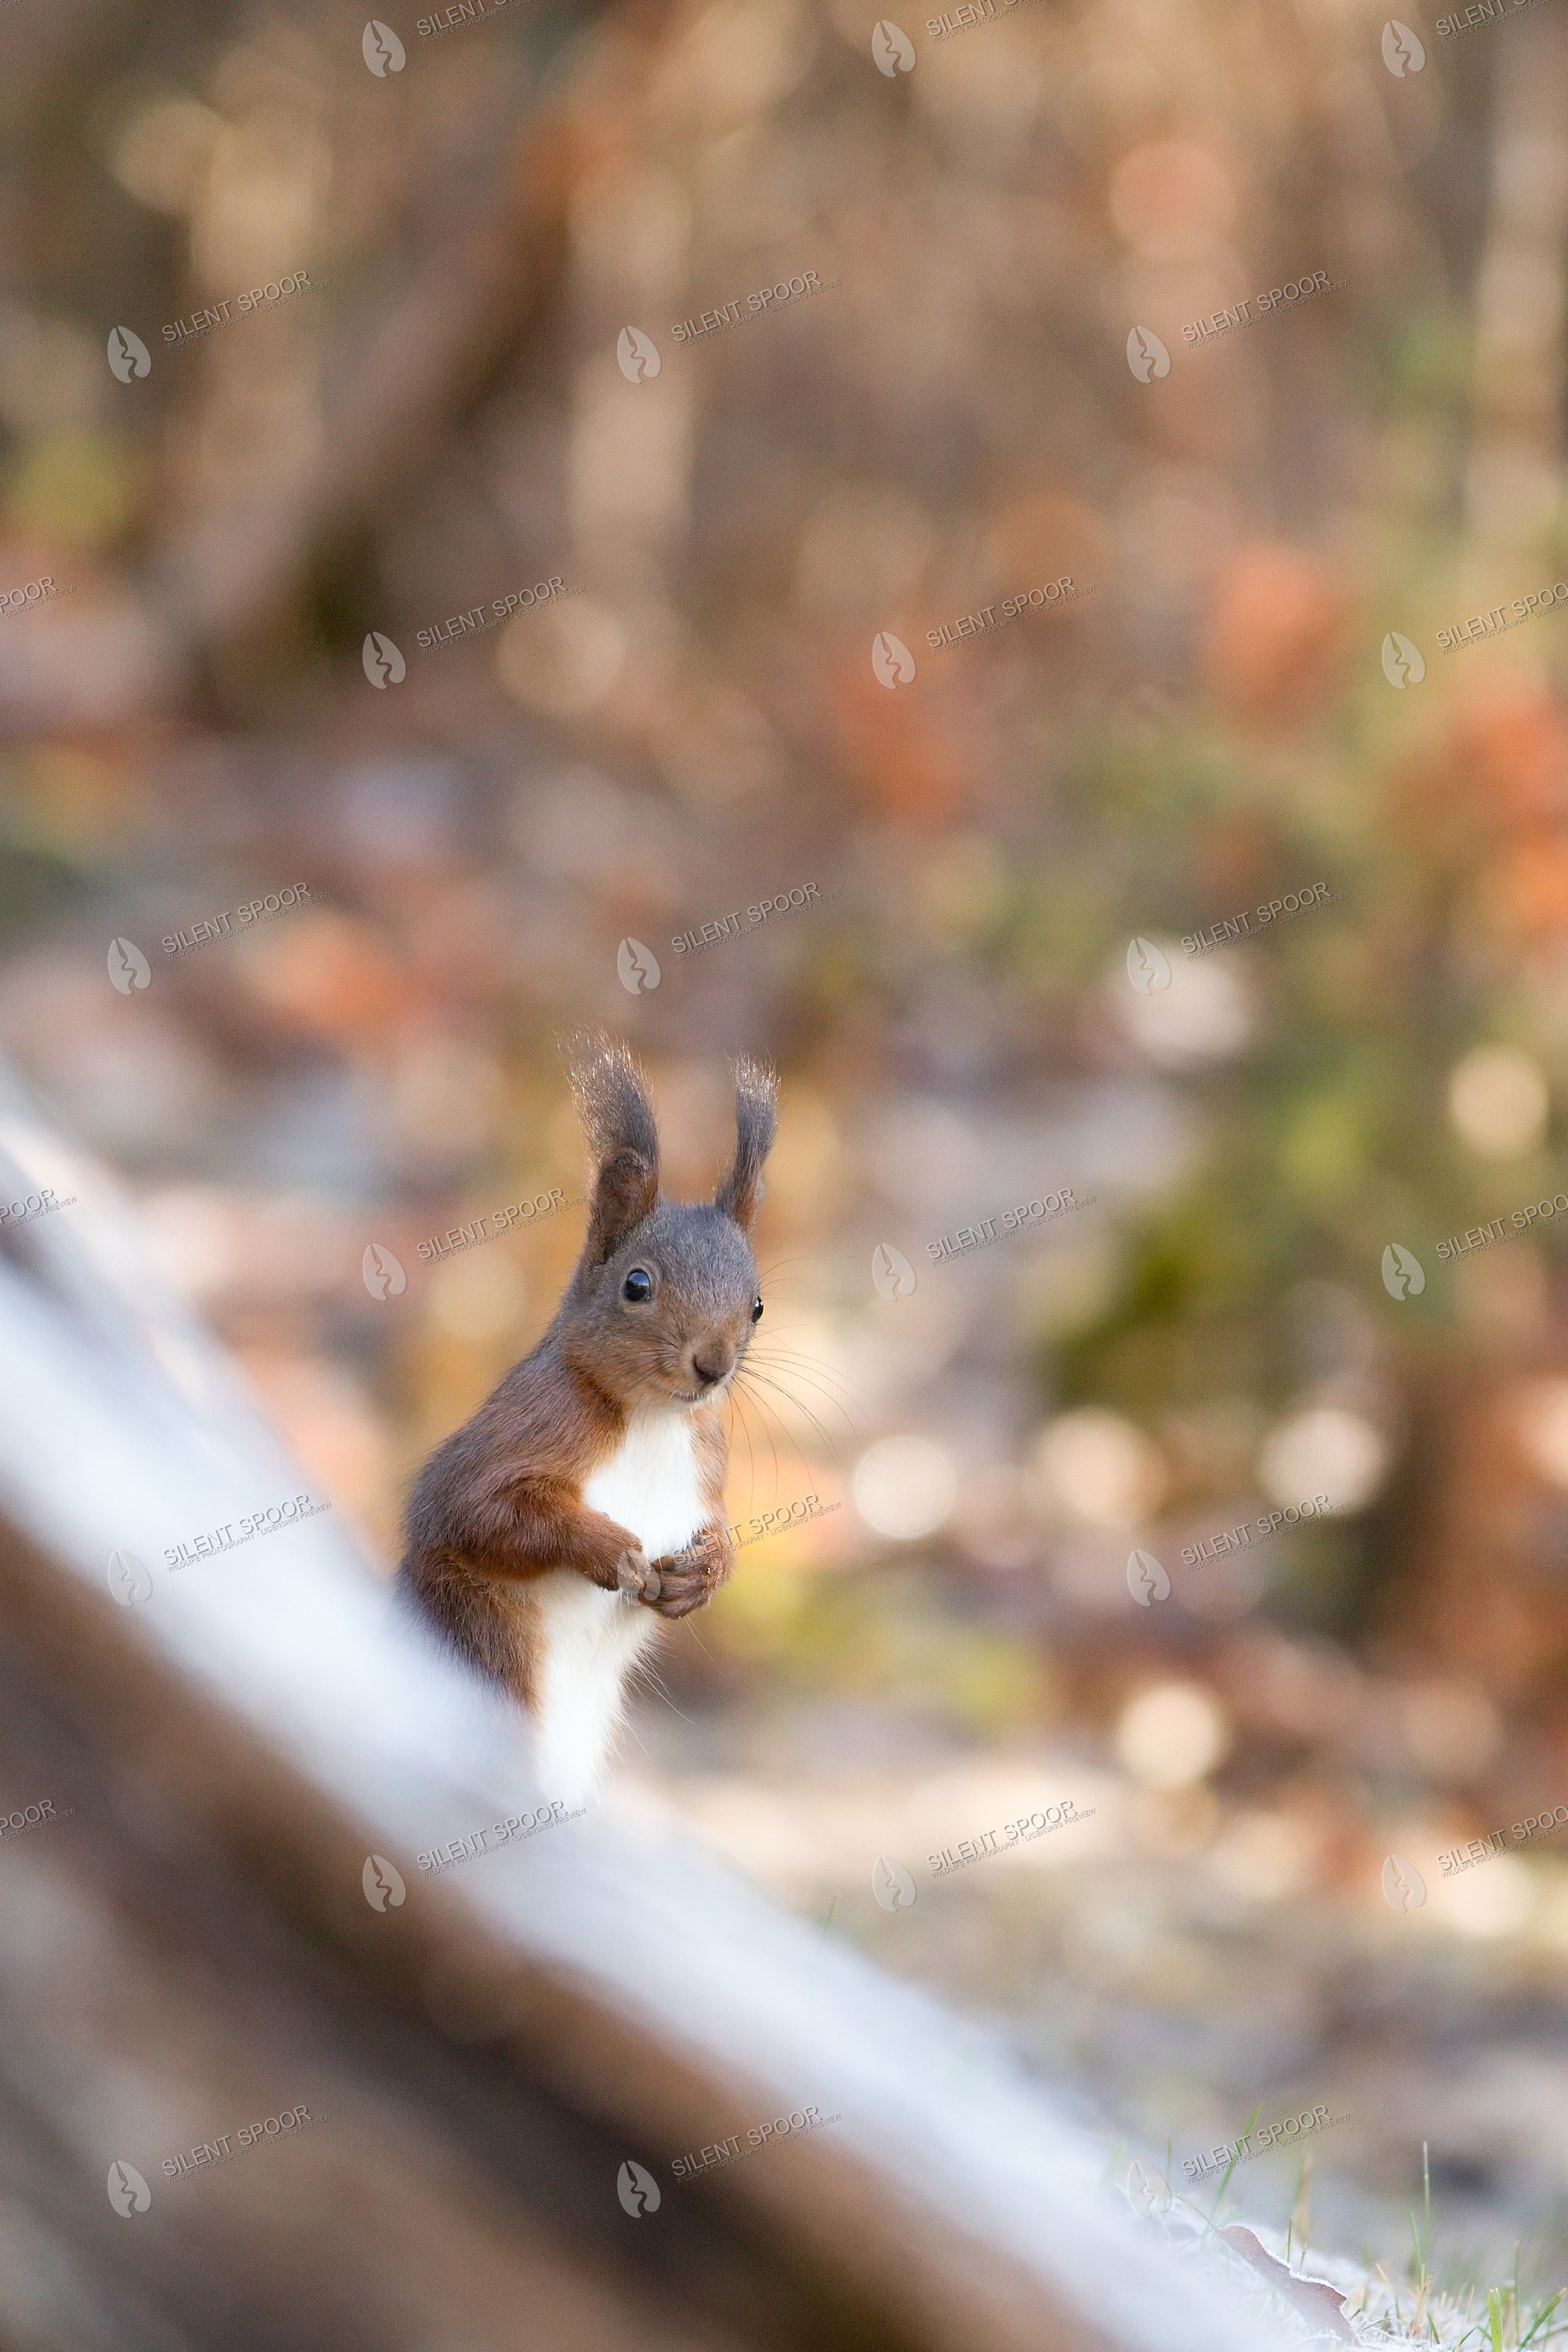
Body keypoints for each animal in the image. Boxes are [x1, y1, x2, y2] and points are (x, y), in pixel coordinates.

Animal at [397, 1036, 777, 1805]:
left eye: (757, 1304)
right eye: (637, 1284)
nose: (713, 1365)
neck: (653, 1420)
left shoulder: (706, 1470)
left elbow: (720, 1529)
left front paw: (702, 1574)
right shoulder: (523, 1429)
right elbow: (475, 1511)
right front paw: (607, 1549)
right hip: (491, 1658)